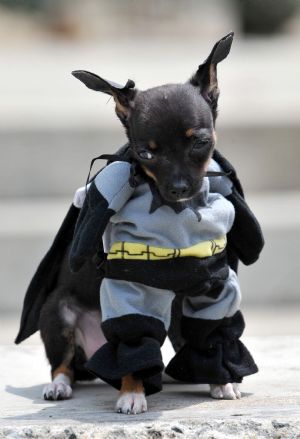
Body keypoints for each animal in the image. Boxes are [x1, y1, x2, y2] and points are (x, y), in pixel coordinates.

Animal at [15, 32, 264, 414]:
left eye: (201, 142)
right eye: (145, 153)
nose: (178, 187)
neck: (176, 212)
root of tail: (94, 358)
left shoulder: (212, 285)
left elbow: (212, 337)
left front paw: (221, 380)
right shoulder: (132, 290)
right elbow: (134, 343)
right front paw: (132, 393)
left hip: (174, 319)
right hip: (57, 314)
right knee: (64, 364)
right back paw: (60, 385)